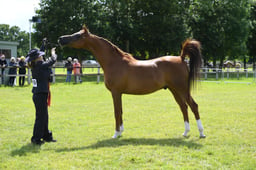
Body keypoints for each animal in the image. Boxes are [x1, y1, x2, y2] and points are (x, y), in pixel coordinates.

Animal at [58, 26, 206, 138]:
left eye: (77, 36)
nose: (61, 39)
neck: (114, 62)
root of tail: (181, 58)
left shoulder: (115, 92)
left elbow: (116, 112)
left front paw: (116, 134)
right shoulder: (119, 93)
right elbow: (121, 111)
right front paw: (120, 132)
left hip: (182, 89)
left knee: (193, 106)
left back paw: (201, 133)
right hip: (174, 90)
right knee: (183, 107)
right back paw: (185, 132)